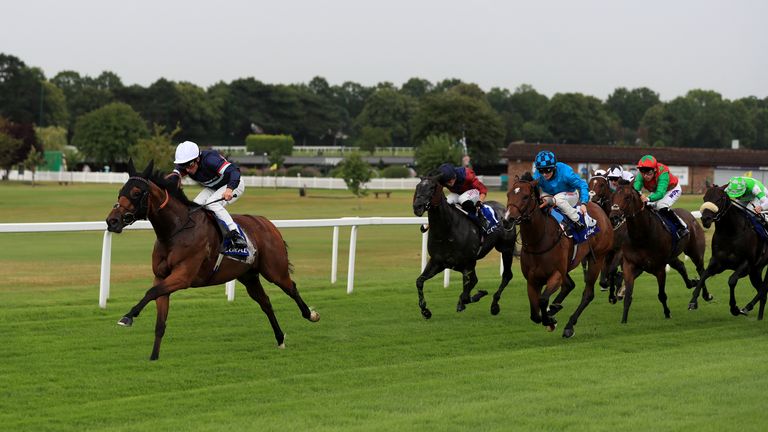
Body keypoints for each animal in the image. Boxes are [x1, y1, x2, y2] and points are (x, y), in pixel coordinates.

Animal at [104, 160, 318, 360]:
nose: (112, 221)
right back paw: (280, 338)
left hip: (274, 270)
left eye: (136, 192)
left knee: (291, 288)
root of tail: (268, 223)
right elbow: (159, 318)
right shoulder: (161, 277)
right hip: (248, 276)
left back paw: (311, 315)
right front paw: (154, 357)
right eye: (120, 191)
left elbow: (151, 292)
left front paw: (127, 317)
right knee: (265, 302)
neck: (176, 230)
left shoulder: (183, 277)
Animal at [414, 174, 516, 318]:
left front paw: (477, 295)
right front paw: (425, 310)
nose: (417, 206)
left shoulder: (467, 264)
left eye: (432, 188)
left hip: (506, 249)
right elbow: (419, 281)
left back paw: (494, 305)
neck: (446, 230)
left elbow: (466, 295)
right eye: (417, 187)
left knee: (507, 275)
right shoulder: (438, 262)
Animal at [504, 172, 612, 338]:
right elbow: (534, 314)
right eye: (509, 194)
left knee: (588, 294)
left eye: (526, 196)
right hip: (568, 265)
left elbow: (542, 300)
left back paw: (569, 325)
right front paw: (550, 316)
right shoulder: (532, 280)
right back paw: (555, 307)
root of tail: (599, 210)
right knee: (569, 285)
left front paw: (550, 320)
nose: (507, 220)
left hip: (597, 259)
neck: (539, 240)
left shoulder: (556, 274)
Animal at [608, 184, 712, 322]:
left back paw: (705, 295)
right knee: (681, 266)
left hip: (695, 252)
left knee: (701, 271)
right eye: (613, 196)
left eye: (627, 197)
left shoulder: (659, 268)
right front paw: (624, 320)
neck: (642, 236)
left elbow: (662, 294)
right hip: (672, 257)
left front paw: (667, 313)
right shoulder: (629, 264)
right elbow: (628, 295)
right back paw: (692, 283)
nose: (614, 217)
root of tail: (690, 215)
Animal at [688, 184, 768, 318]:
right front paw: (693, 301)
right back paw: (756, 314)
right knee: (762, 292)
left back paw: (746, 308)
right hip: (756, 271)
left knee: (763, 290)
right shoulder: (717, 262)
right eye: (704, 198)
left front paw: (734, 308)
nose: (705, 219)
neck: (730, 233)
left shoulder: (746, 264)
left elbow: (731, 281)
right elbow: (703, 275)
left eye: (719, 199)